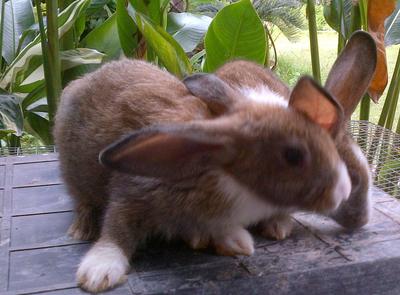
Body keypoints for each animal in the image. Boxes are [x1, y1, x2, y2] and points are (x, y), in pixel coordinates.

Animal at [53, 30, 376, 294]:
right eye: (293, 156)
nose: (361, 220)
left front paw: (240, 240)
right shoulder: (133, 191)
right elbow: (117, 228)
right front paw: (99, 271)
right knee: (83, 198)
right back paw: (82, 227)